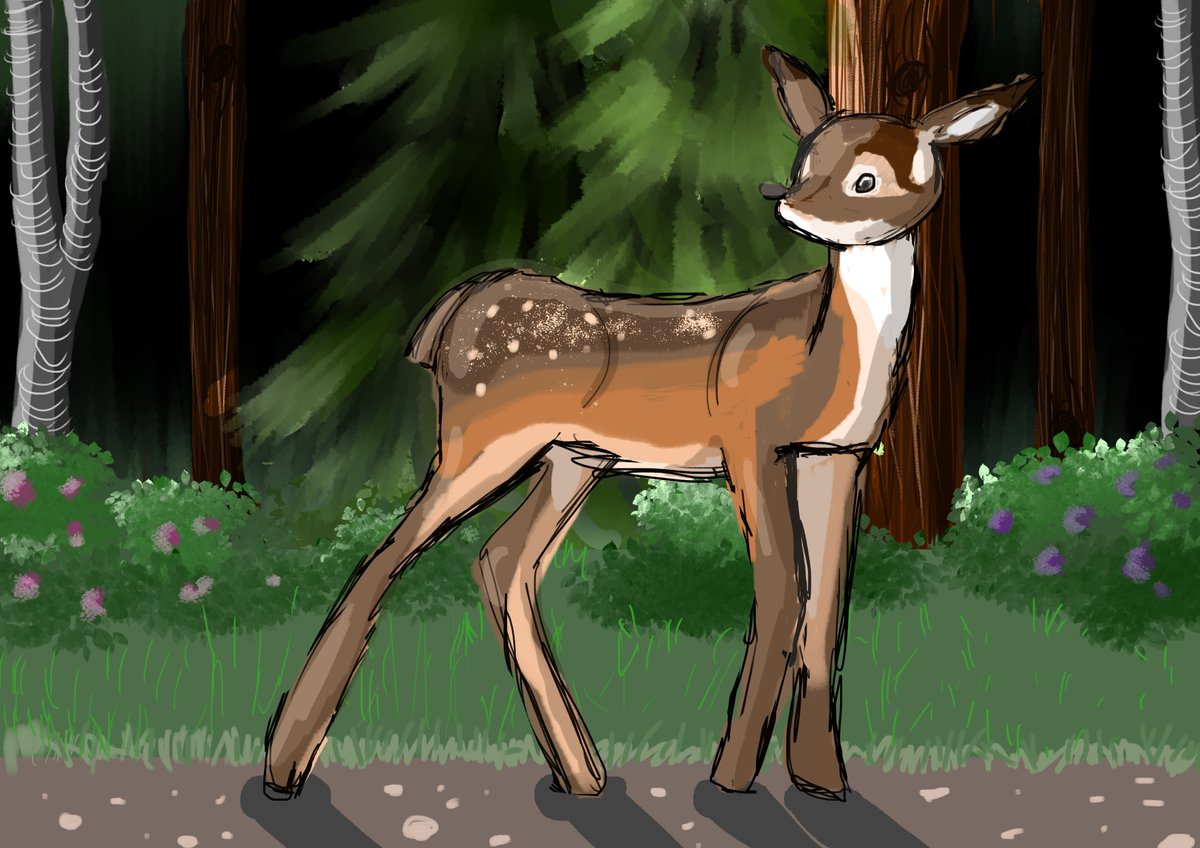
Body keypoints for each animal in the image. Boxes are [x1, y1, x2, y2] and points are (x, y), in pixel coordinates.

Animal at [262, 46, 1035, 804]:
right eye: (803, 163)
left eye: (866, 178)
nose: (786, 203)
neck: (829, 362)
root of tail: (446, 316)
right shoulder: (749, 437)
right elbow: (783, 587)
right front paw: (732, 778)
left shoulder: (840, 453)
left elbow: (827, 605)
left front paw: (822, 780)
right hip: (480, 441)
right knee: (386, 559)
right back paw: (285, 767)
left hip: (573, 459)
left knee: (502, 561)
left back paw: (582, 774)